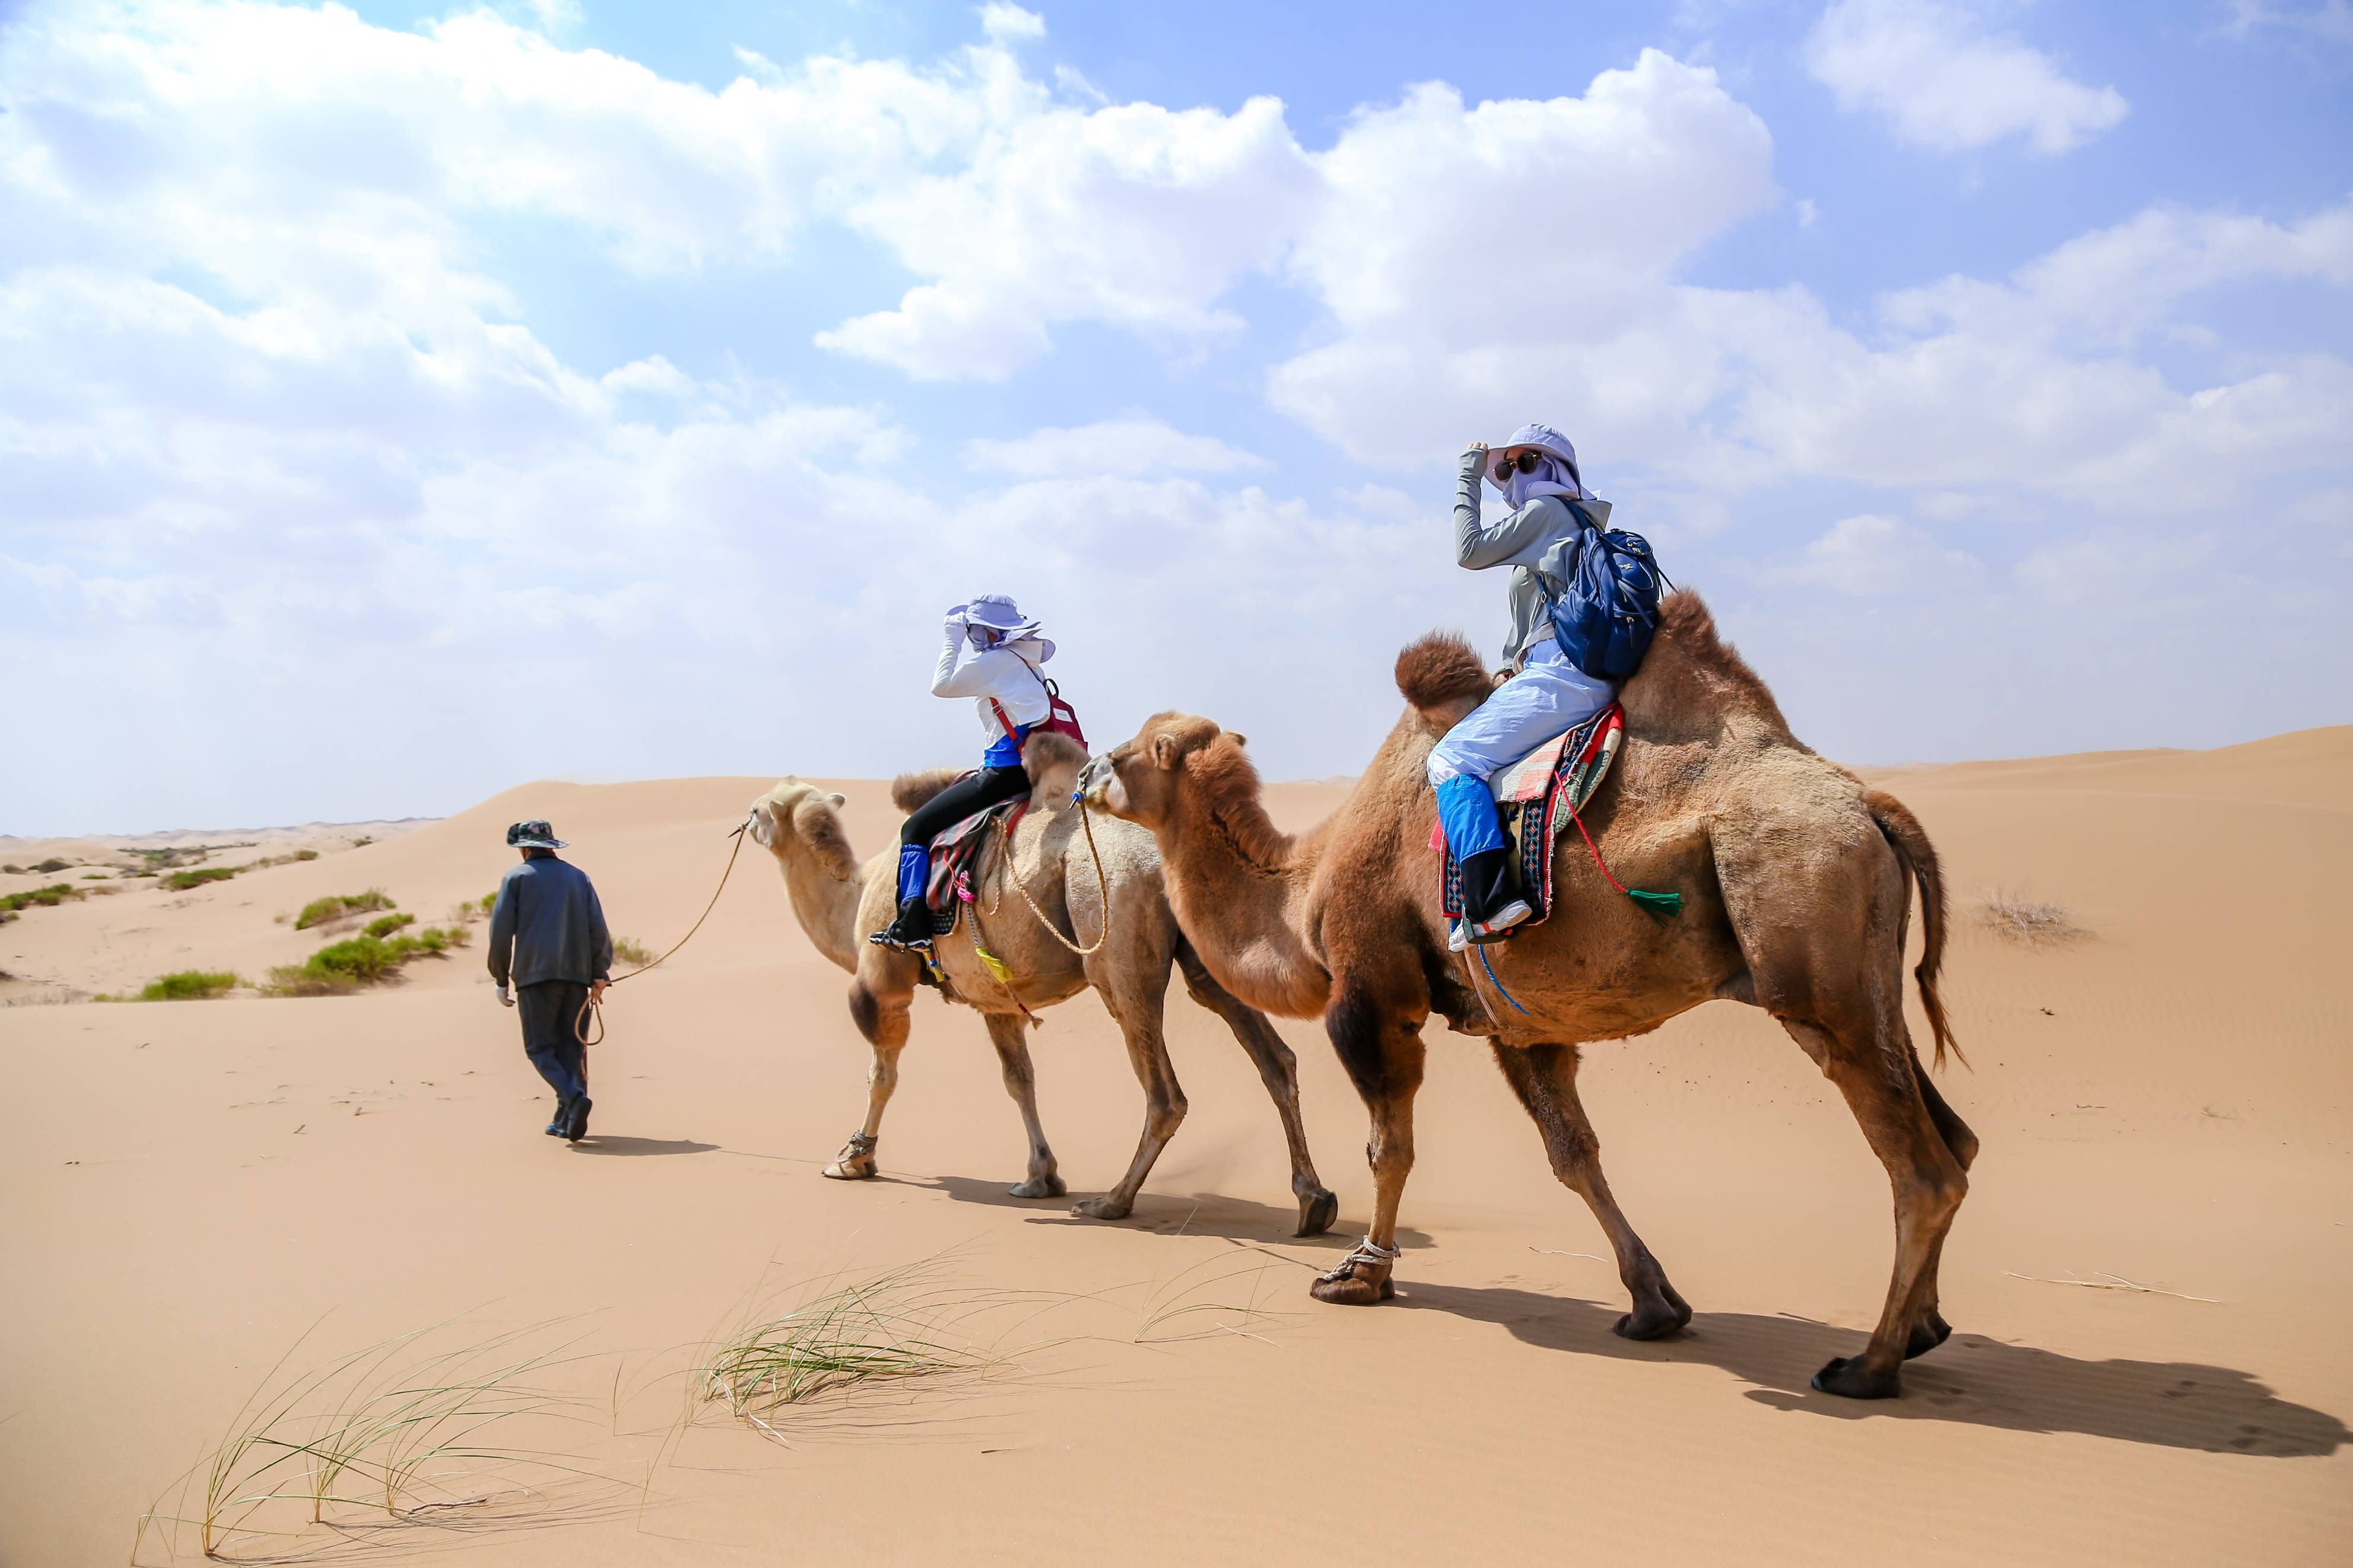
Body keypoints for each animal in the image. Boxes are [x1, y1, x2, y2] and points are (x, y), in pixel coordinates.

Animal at [752, 733, 1345, 1241]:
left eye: (758, 809)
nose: (743, 823)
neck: (854, 897)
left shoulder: (882, 975)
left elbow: (882, 1074)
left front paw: (854, 1157)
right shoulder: (993, 996)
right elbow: (1020, 1080)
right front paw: (1040, 1176)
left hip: (1114, 947)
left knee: (1164, 1093)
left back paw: (1112, 1201)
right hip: (1207, 948)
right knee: (1274, 1059)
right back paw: (1313, 1199)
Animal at [1087, 594, 1986, 1401]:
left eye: (1130, 753)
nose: (1085, 775)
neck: (1305, 882)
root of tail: (1871, 806)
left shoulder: (1372, 992)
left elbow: (1389, 1148)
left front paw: (1359, 1275)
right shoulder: (1517, 1024)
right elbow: (1572, 1154)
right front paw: (1653, 1302)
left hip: (1812, 950)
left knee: (1920, 1167)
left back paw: (1868, 1364)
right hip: (1867, 980)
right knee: (1954, 1135)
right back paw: (1923, 1327)